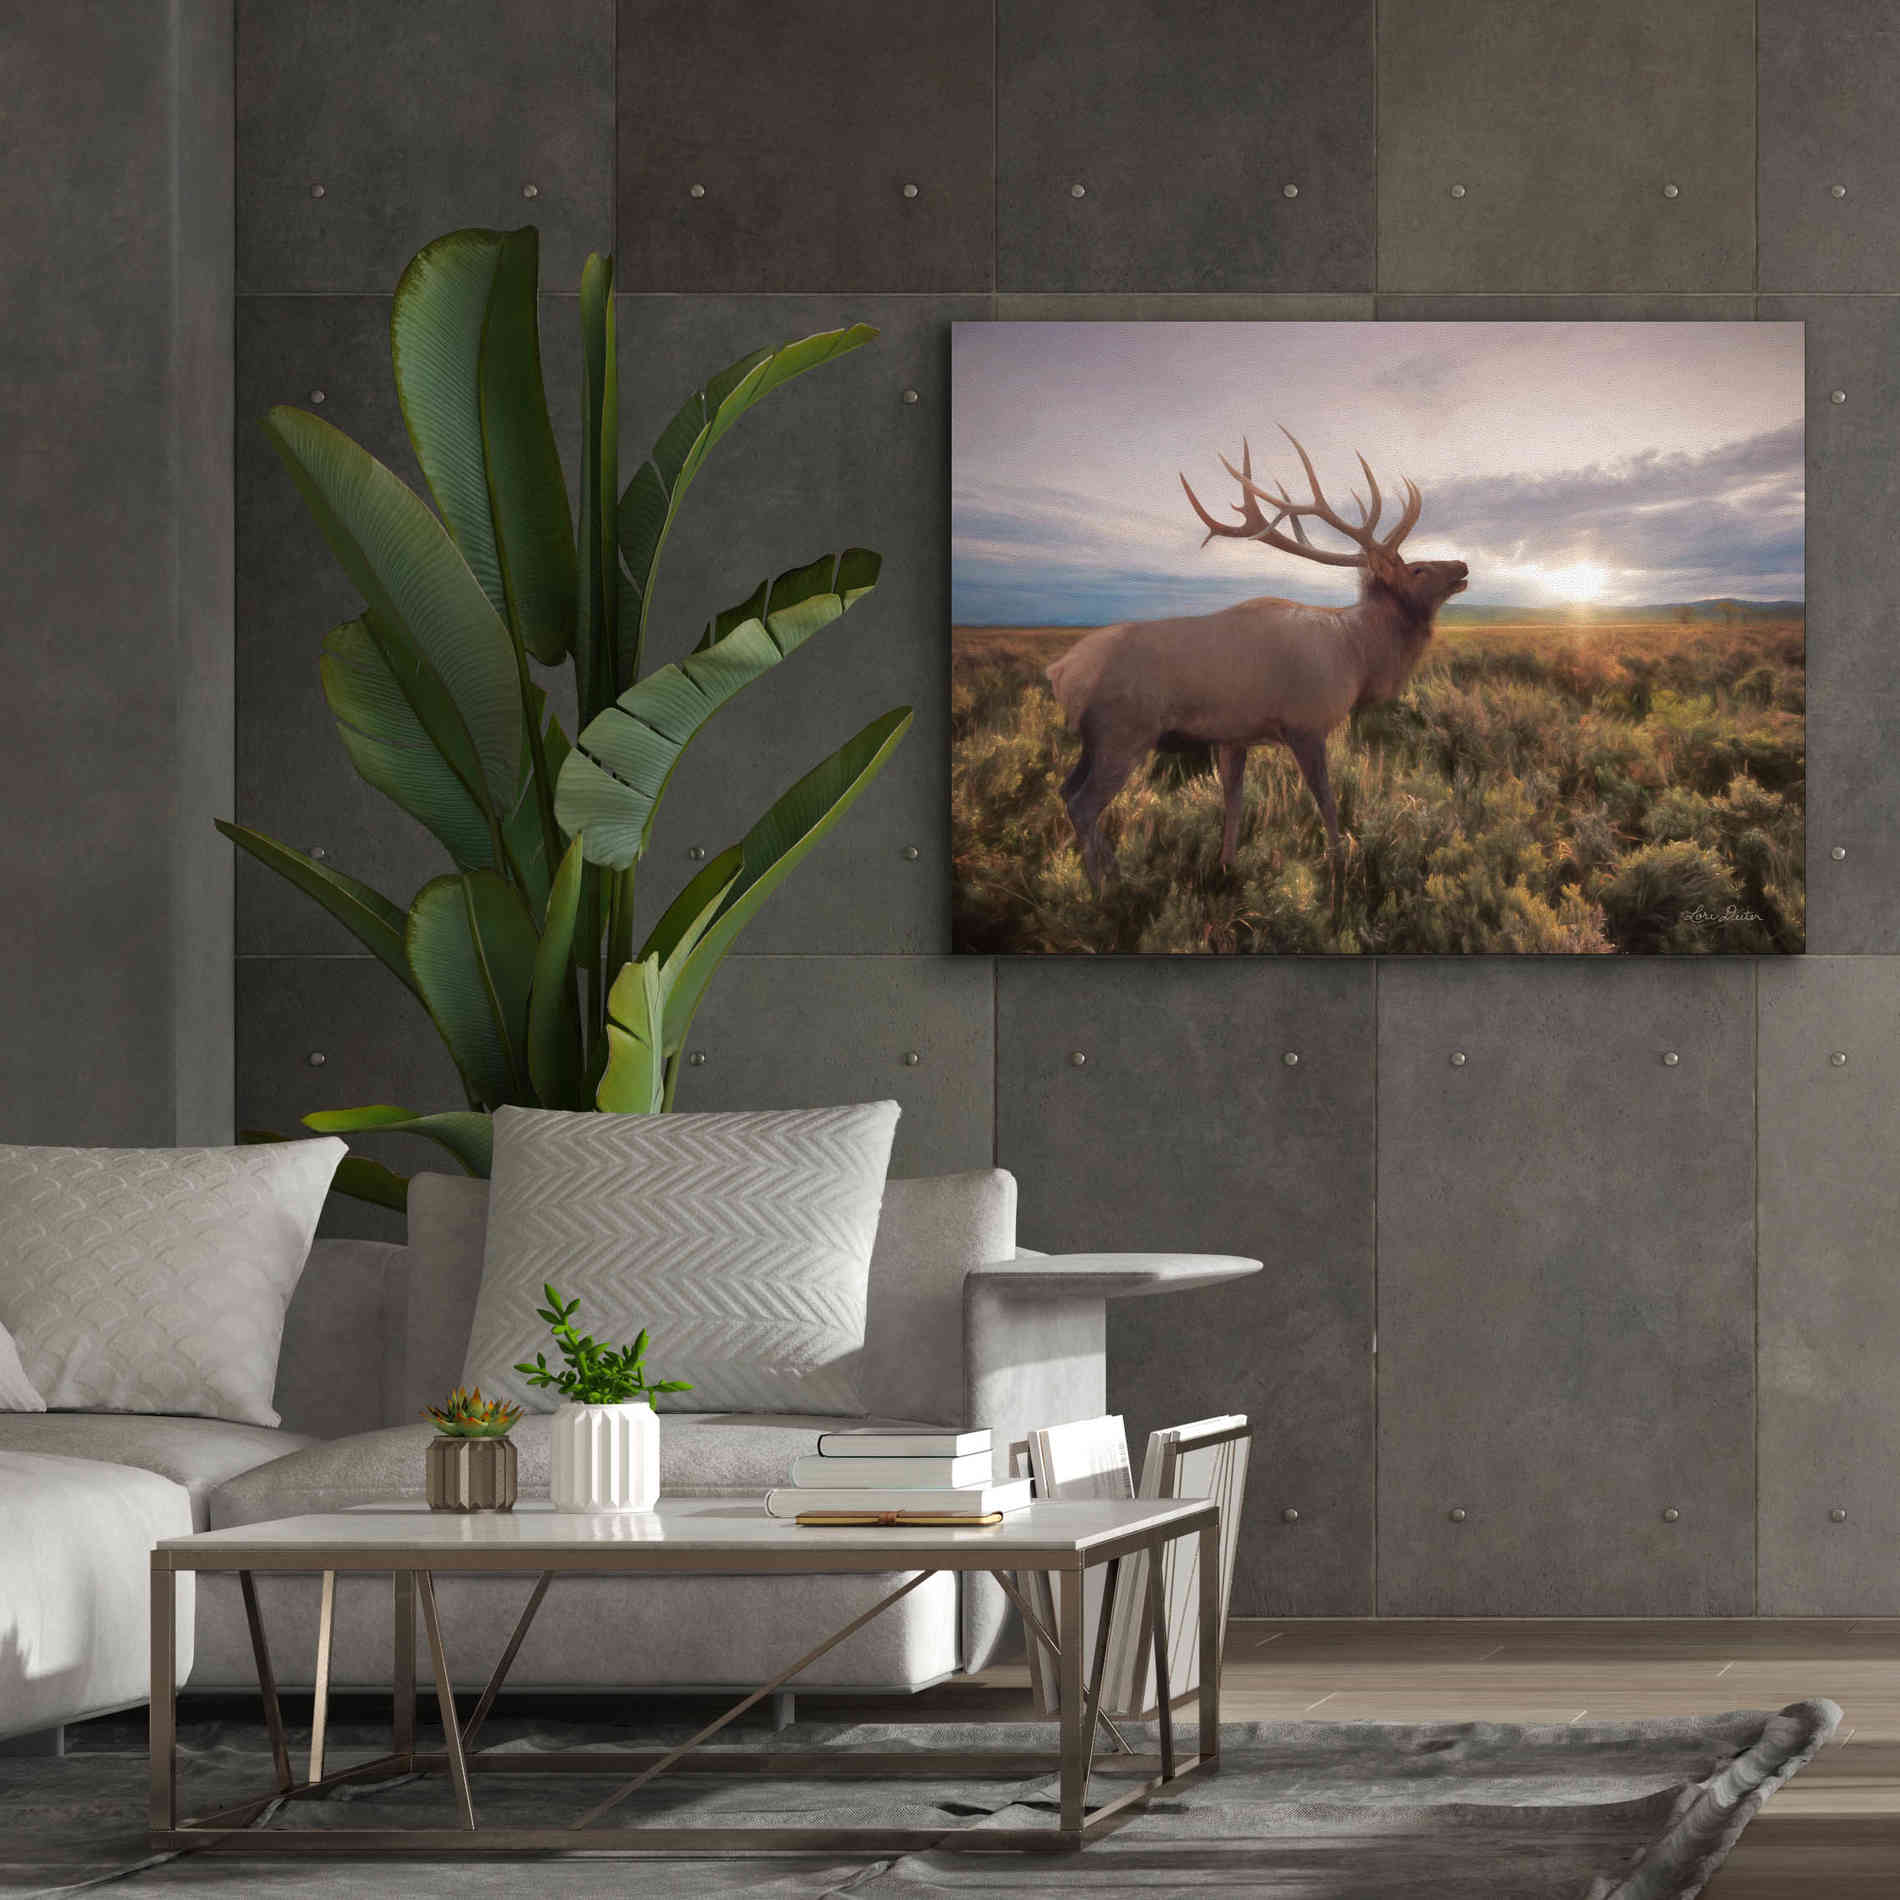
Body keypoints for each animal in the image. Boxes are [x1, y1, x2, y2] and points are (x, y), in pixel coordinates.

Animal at [1046, 428, 1469, 919]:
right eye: (1418, 568)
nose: (1462, 566)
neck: (1357, 656)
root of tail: (1061, 672)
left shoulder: (1234, 736)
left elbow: (1233, 800)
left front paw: (1226, 867)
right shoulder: (1305, 724)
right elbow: (1326, 801)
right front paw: (1339, 873)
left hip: (1093, 740)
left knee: (1065, 791)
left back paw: (1117, 874)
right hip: (1124, 734)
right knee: (1082, 805)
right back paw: (1102, 895)